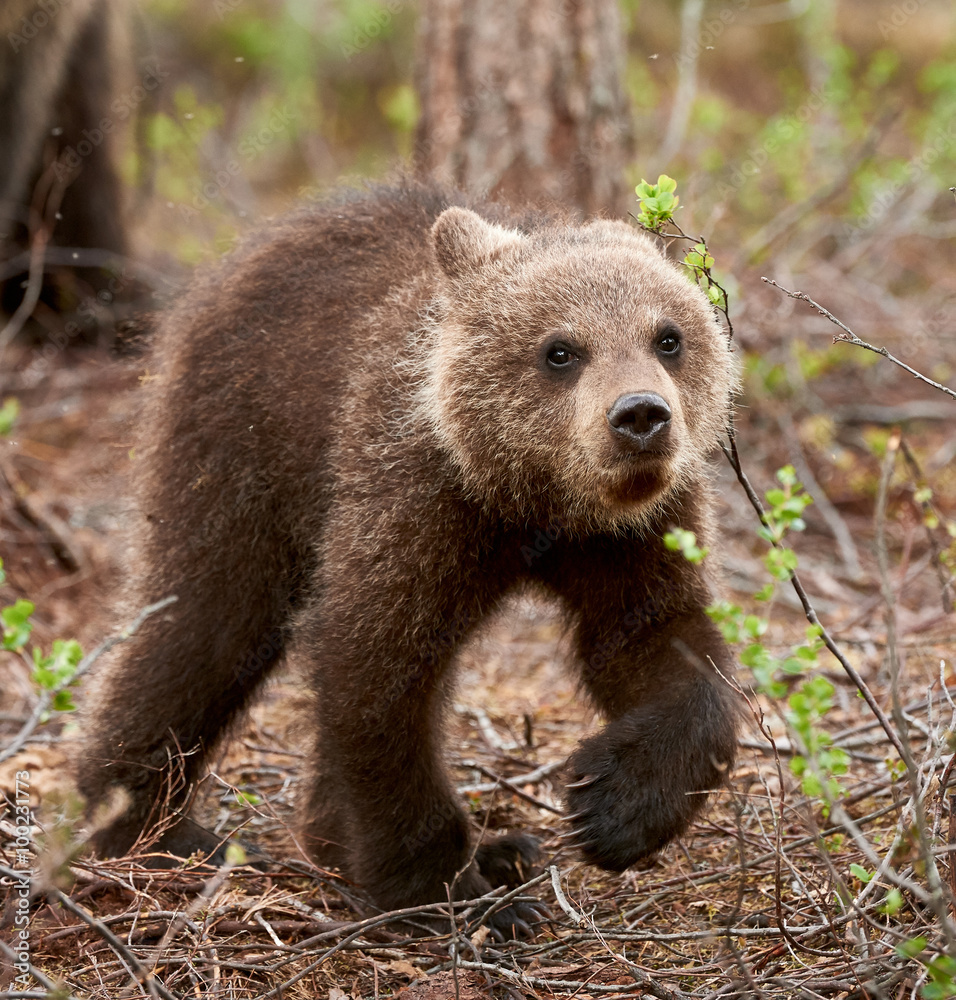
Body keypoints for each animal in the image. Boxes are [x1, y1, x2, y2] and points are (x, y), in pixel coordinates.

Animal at [77, 177, 740, 937]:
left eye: (669, 337)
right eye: (560, 350)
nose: (640, 416)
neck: (533, 503)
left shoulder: (636, 533)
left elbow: (659, 641)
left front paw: (611, 806)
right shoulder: (414, 496)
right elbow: (378, 665)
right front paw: (454, 888)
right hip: (242, 443)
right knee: (205, 622)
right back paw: (147, 827)